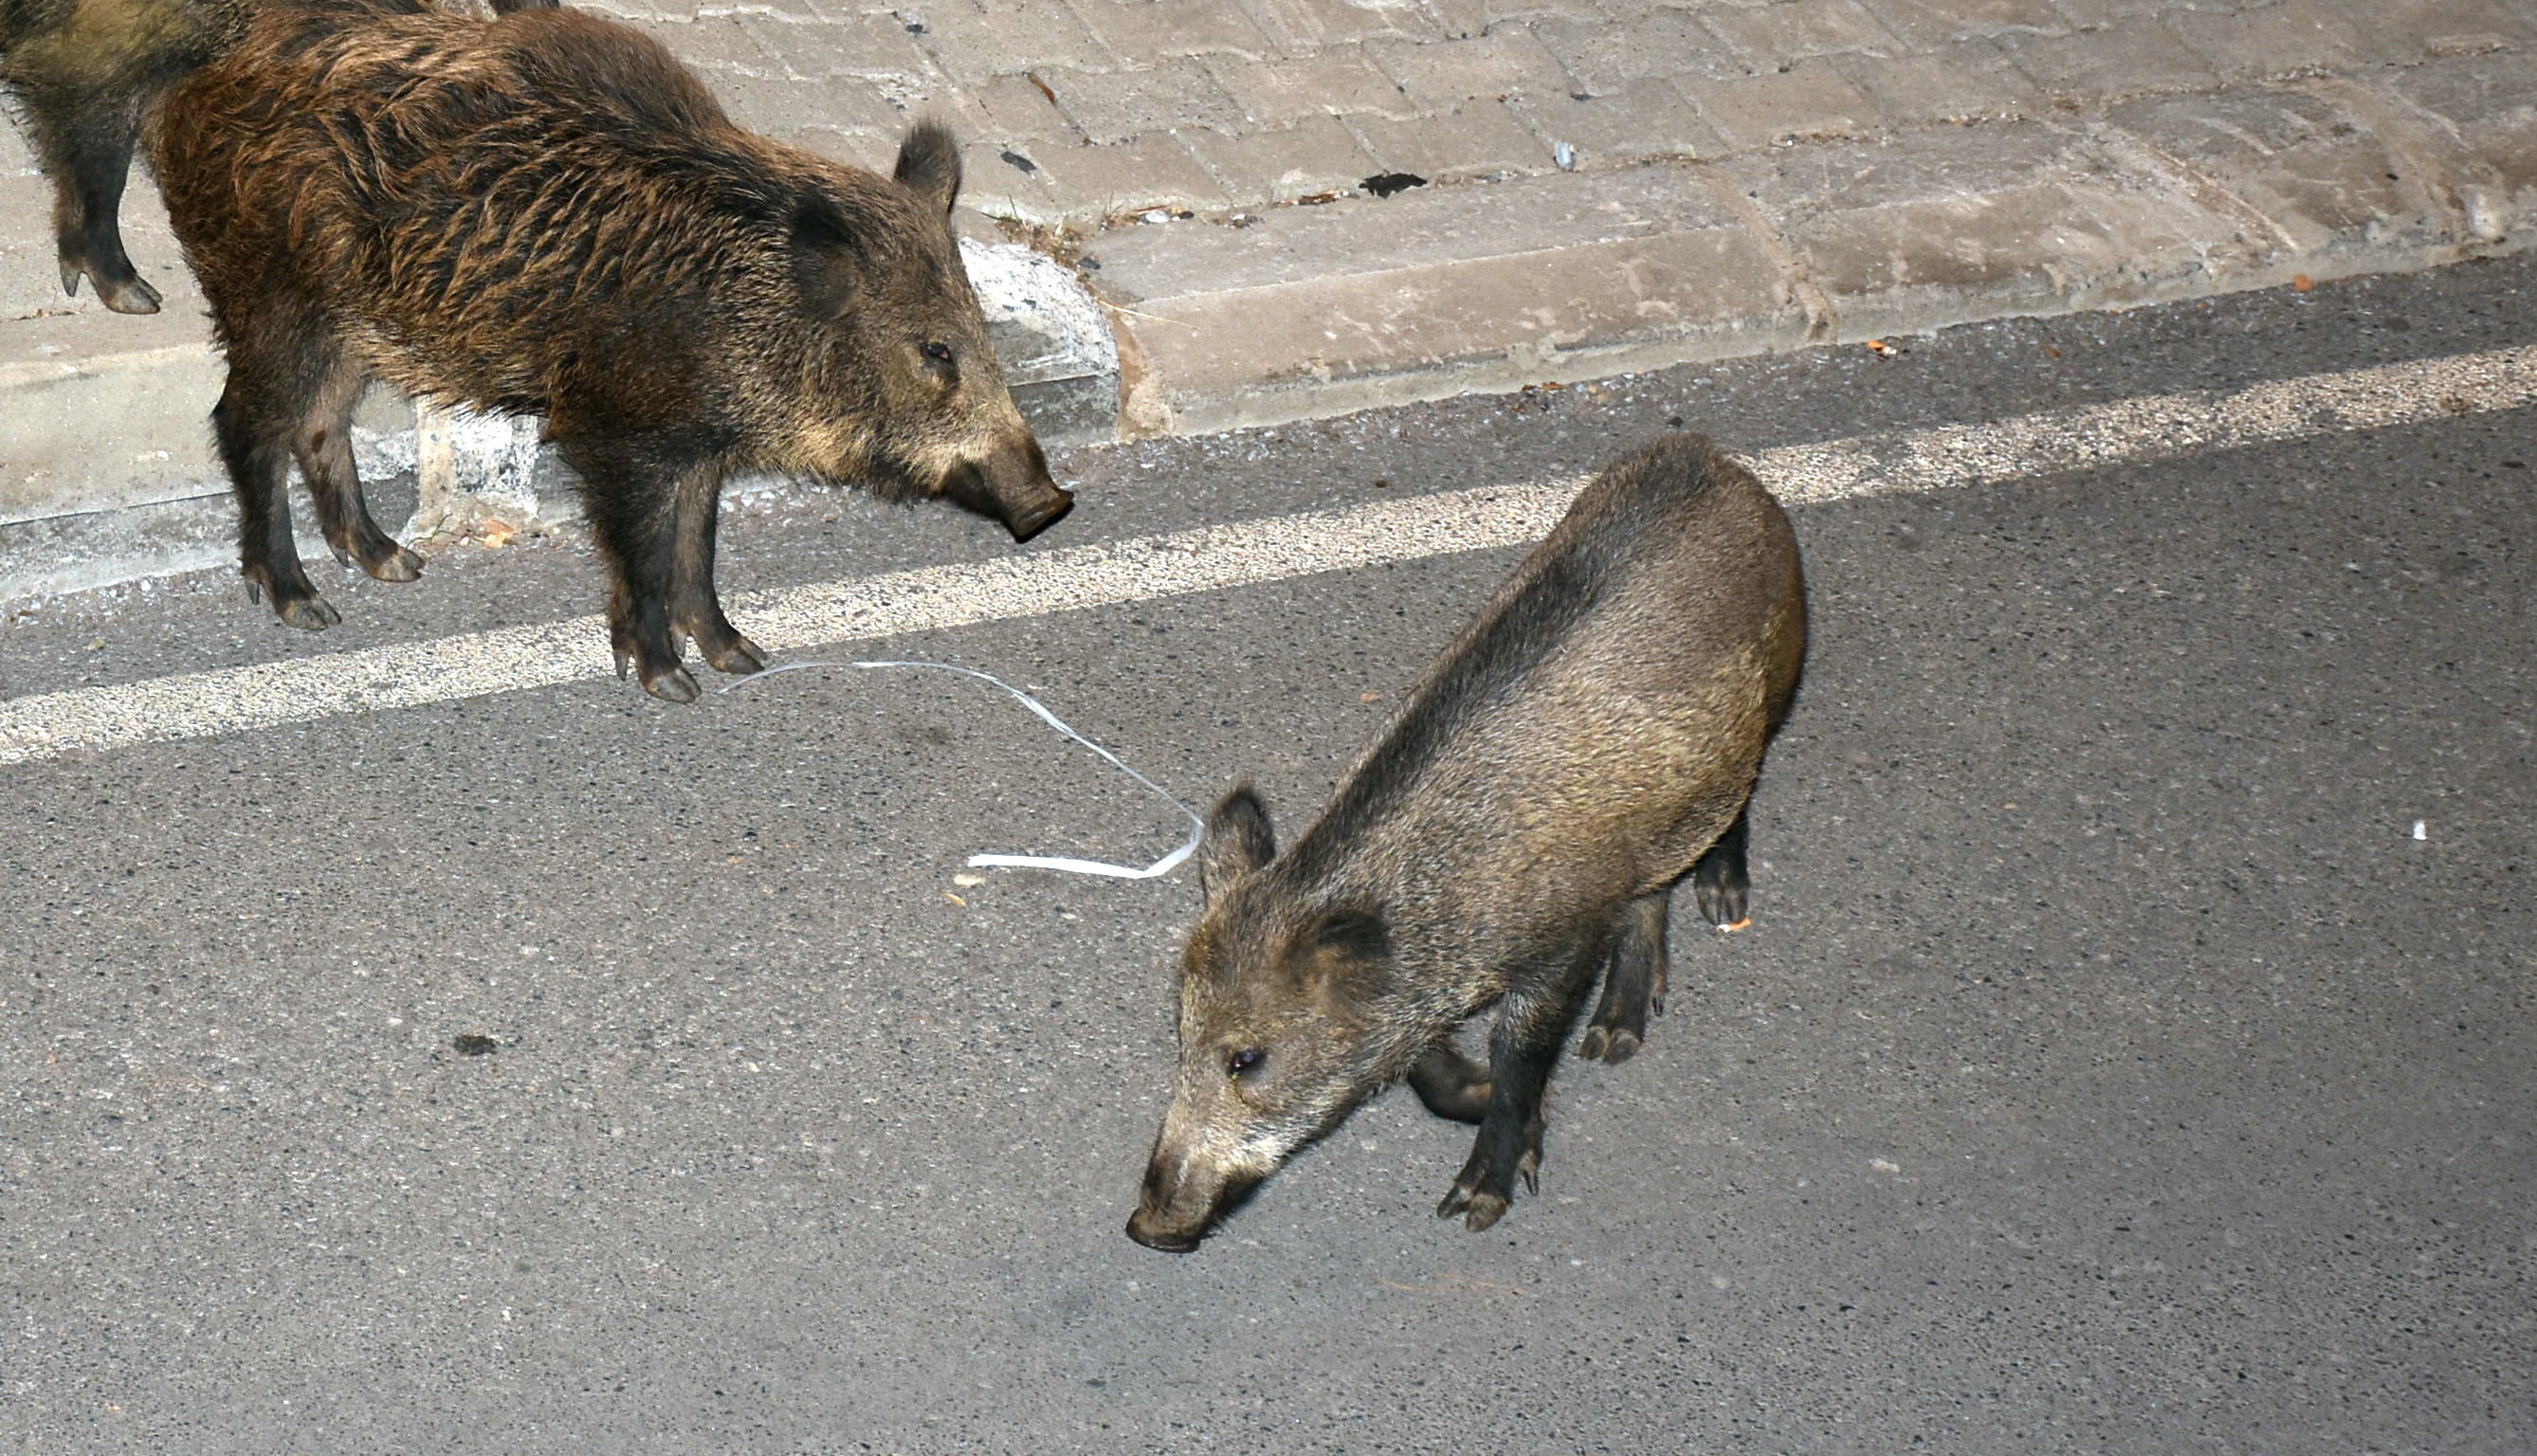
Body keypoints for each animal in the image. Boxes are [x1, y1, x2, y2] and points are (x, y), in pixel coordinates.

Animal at [142, 0, 1070, 701]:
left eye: (980, 328)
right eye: (934, 350)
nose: (1050, 504)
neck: (743, 312)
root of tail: (200, 83)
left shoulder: (697, 444)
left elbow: (698, 545)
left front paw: (743, 658)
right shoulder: (616, 433)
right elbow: (646, 551)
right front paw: (672, 684)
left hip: (349, 327)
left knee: (318, 427)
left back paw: (395, 565)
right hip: (273, 299)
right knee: (244, 423)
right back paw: (304, 605)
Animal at [1128, 435, 1806, 1251]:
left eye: (1247, 1058)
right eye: (1181, 1033)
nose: (1147, 1228)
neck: (1438, 905)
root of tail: (1711, 457)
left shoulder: (1562, 944)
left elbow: (1517, 1062)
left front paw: (1477, 1201)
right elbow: (1422, 1064)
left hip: (1775, 685)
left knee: (1739, 794)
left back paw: (1720, 906)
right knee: (1652, 891)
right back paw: (1614, 1036)